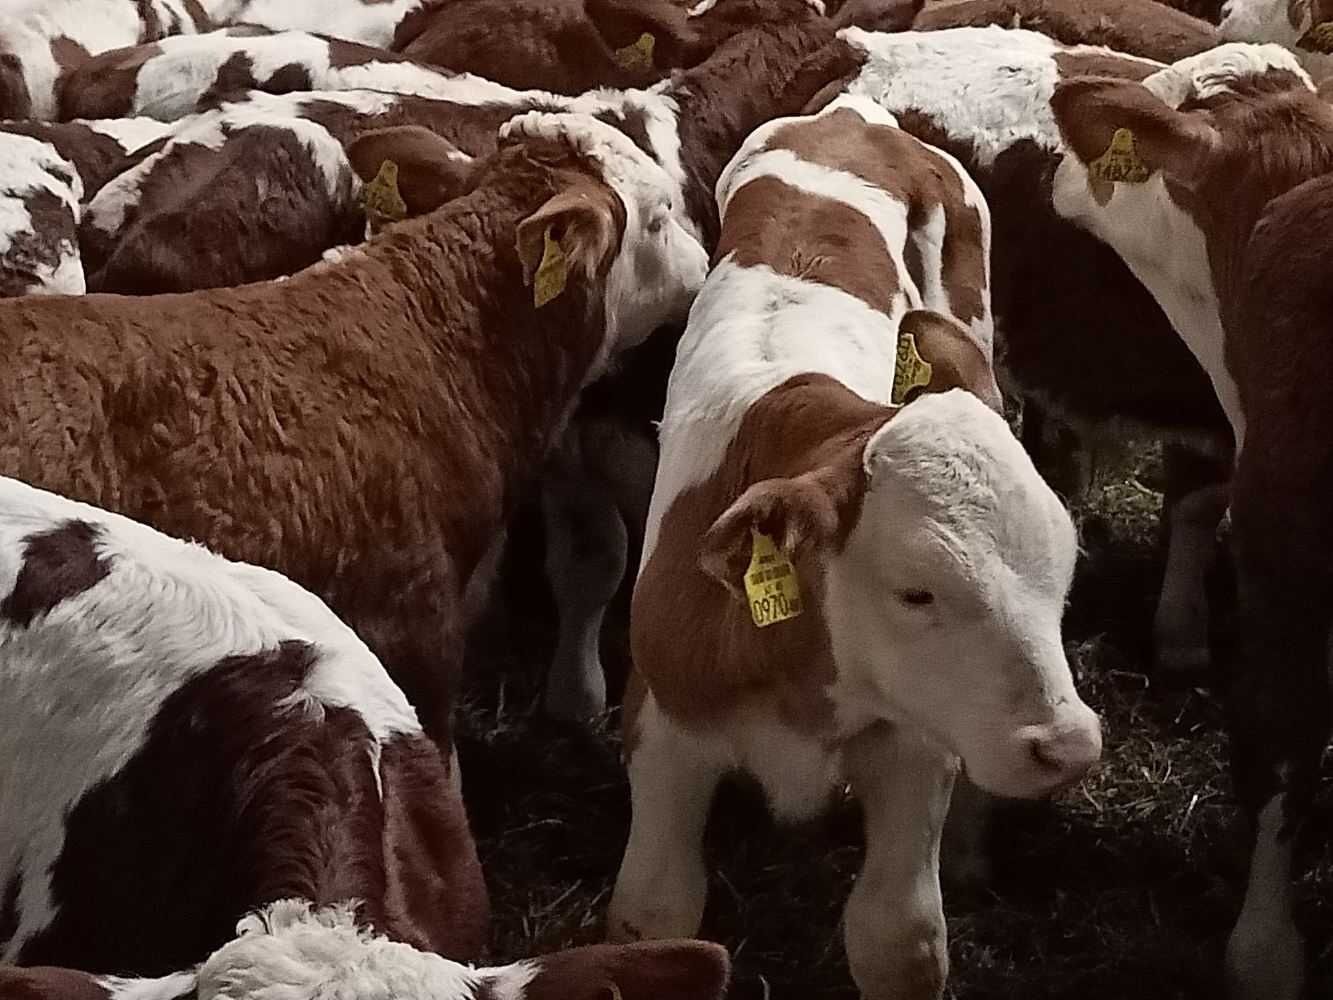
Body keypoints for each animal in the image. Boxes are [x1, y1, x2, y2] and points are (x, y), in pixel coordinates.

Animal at [610, 94, 1098, 1000]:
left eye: (1060, 576)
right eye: (916, 591)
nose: (1068, 747)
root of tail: (850, 118)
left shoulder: (916, 747)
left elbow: (896, 939)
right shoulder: (663, 727)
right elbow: (655, 911)